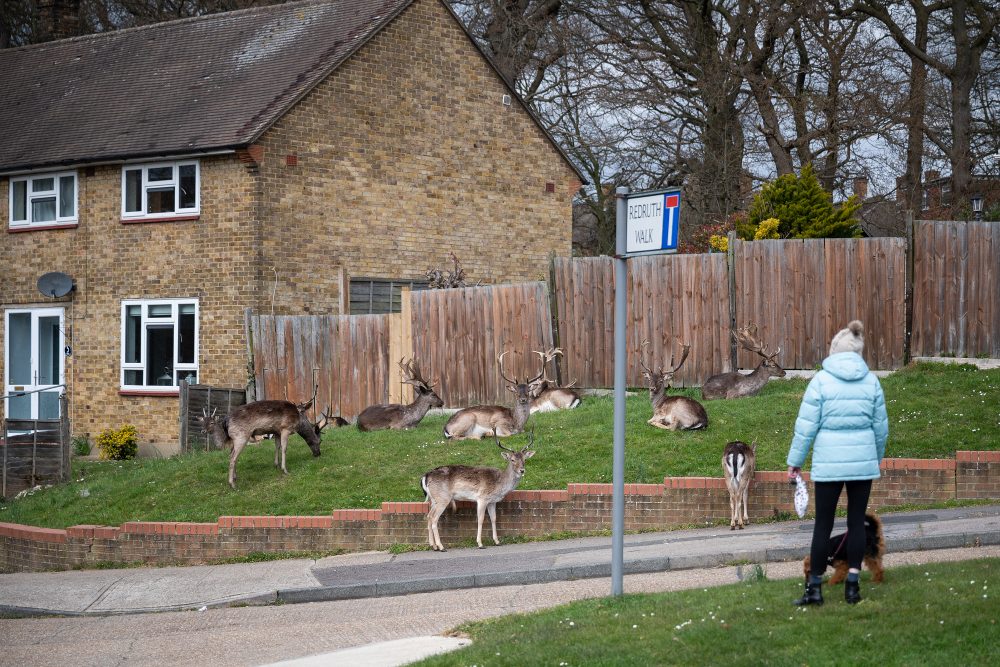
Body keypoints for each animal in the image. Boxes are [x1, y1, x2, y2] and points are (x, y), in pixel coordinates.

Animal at [200, 387, 331, 490]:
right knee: (232, 457)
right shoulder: (285, 428)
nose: (318, 454)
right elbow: (284, 448)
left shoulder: (277, 431)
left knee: (231, 455)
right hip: (241, 436)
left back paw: (235, 478)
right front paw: (285, 470)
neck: (298, 423)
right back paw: (232, 484)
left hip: (235, 439)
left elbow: (277, 446)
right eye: (320, 441)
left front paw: (276, 465)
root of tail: (226, 421)